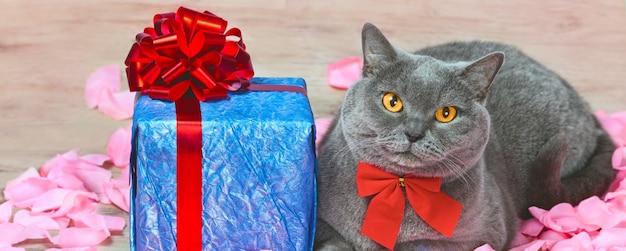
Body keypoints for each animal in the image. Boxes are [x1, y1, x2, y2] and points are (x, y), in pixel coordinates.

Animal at [314, 22, 616, 250]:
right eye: (392, 102)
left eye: (446, 113)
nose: (413, 132)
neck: (399, 188)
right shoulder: (322, 221)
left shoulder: (482, 235)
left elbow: (420, 245)